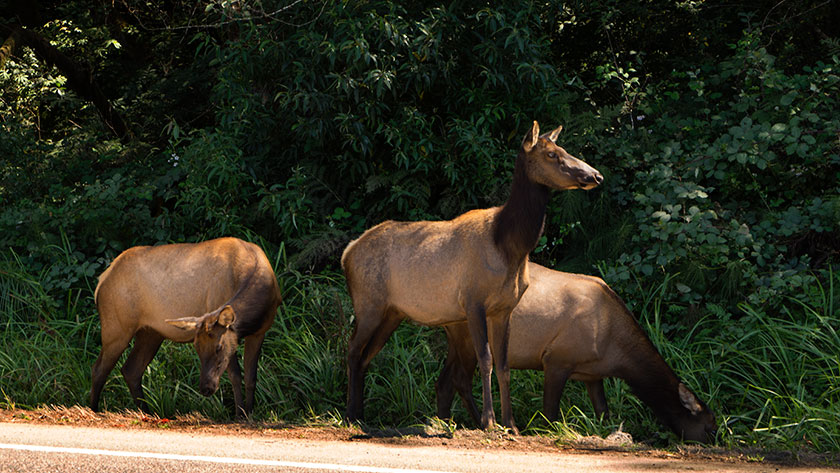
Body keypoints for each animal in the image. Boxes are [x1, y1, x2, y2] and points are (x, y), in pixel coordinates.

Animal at [90, 238, 282, 414]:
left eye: (218, 347)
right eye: (196, 347)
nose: (206, 388)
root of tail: (101, 281)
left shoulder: (260, 332)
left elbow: (251, 377)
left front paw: (249, 413)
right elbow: (235, 375)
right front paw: (239, 414)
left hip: (151, 333)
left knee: (131, 370)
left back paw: (146, 412)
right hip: (116, 328)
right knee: (98, 369)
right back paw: (94, 409)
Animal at [342, 121, 604, 432]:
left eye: (562, 148)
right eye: (552, 154)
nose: (595, 175)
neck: (511, 248)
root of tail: (347, 253)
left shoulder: (504, 309)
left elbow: (504, 365)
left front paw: (510, 423)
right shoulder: (473, 302)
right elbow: (486, 360)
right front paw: (489, 421)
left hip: (392, 313)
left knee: (366, 355)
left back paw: (360, 414)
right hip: (368, 304)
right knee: (353, 349)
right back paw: (349, 414)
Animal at [436, 262, 720, 442]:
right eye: (709, 428)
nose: (717, 442)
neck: (616, 354)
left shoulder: (593, 375)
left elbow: (603, 413)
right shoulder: (556, 359)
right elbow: (550, 414)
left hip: (455, 337)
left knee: (444, 381)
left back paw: (443, 422)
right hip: (466, 336)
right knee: (460, 379)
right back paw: (476, 423)